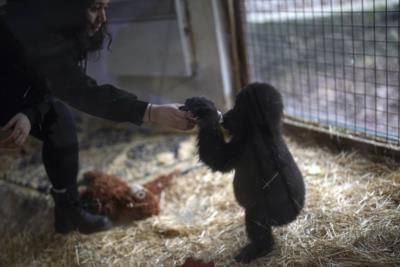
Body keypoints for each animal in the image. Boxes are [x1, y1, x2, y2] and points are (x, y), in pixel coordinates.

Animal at [185, 83, 306, 264]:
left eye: (237, 108)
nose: (226, 114)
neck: (263, 131)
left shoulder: (250, 147)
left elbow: (217, 158)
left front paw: (207, 114)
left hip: (280, 215)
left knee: (256, 214)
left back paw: (260, 247)